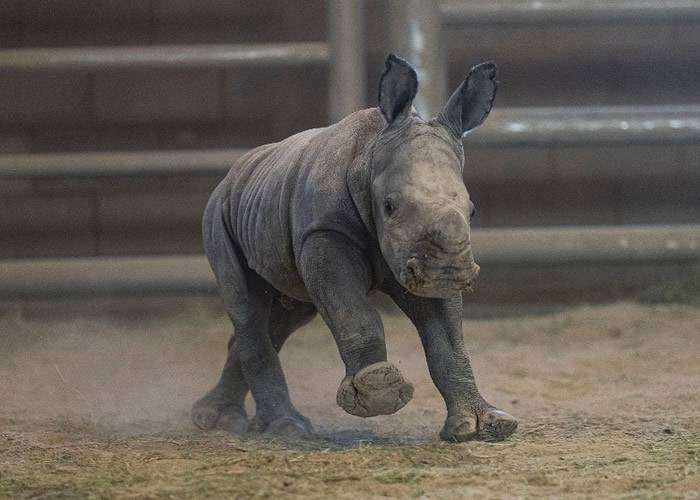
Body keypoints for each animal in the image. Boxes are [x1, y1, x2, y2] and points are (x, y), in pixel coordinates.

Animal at [194, 54, 516, 444]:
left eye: (473, 211)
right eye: (389, 206)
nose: (448, 274)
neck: (371, 153)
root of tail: (233, 171)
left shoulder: (419, 256)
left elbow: (448, 341)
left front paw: (483, 426)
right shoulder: (325, 232)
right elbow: (352, 312)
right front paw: (379, 394)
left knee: (284, 317)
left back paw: (220, 420)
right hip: (218, 211)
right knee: (246, 307)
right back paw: (286, 428)